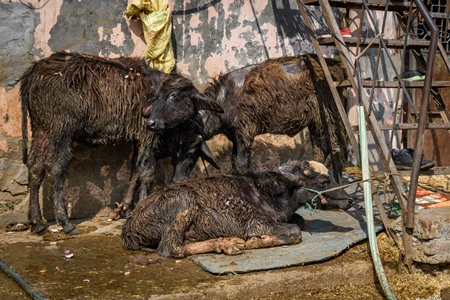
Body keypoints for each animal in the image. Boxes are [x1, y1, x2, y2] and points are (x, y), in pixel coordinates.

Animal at [121, 161, 354, 256]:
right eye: (324, 181)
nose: (350, 201)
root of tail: (130, 225)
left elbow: (299, 220)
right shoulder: (255, 224)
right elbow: (295, 230)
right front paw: (254, 242)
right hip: (183, 203)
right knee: (169, 248)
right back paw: (228, 244)